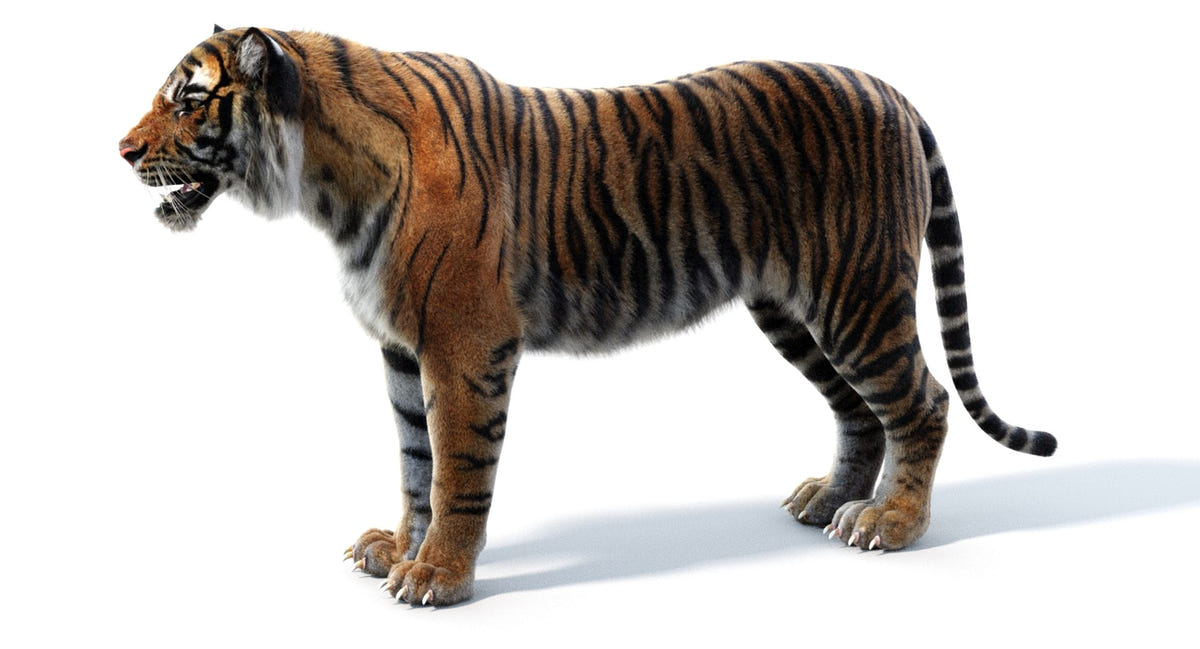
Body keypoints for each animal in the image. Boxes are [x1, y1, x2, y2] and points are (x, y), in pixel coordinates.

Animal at [120, 26, 1056, 606]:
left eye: (188, 100)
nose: (122, 150)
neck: (324, 185)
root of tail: (888, 88)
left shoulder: (463, 345)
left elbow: (458, 469)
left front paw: (439, 575)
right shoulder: (398, 349)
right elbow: (414, 463)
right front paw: (397, 544)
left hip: (855, 294)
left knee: (921, 402)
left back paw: (892, 523)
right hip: (791, 308)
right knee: (858, 411)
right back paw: (829, 499)